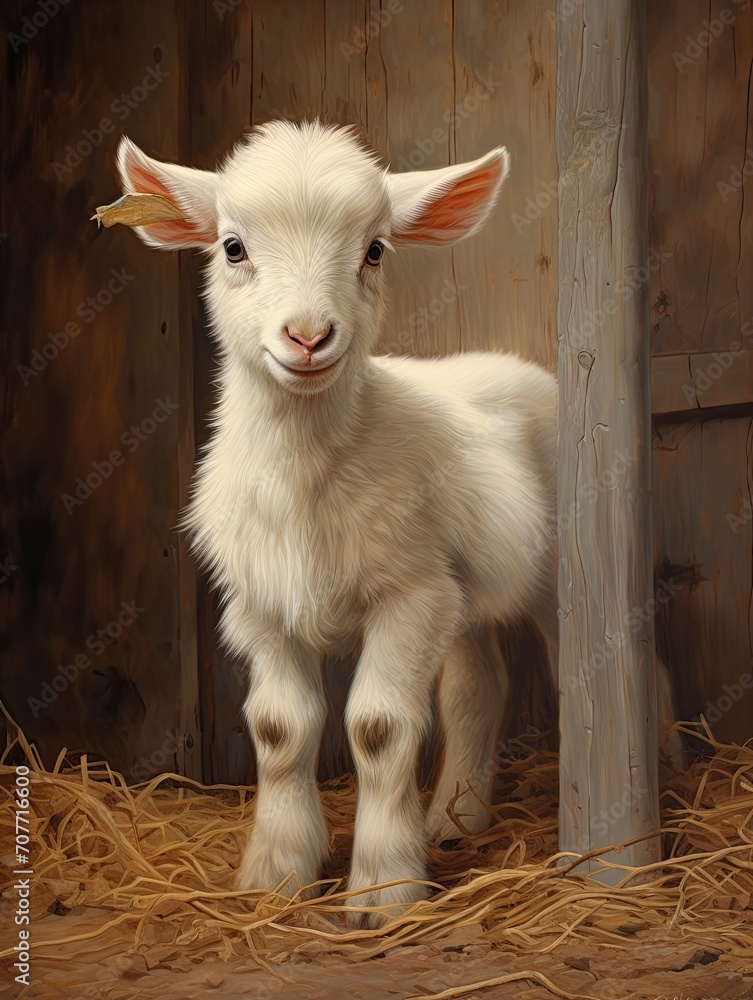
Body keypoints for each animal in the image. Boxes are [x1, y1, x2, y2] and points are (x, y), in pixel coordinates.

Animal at [107, 120, 560, 927]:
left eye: (375, 250)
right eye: (232, 247)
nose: (309, 336)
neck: (306, 478)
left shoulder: (406, 597)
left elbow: (378, 729)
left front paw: (383, 892)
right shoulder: (261, 607)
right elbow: (279, 730)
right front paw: (274, 876)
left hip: (551, 567)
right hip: (461, 589)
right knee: (477, 686)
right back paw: (453, 819)